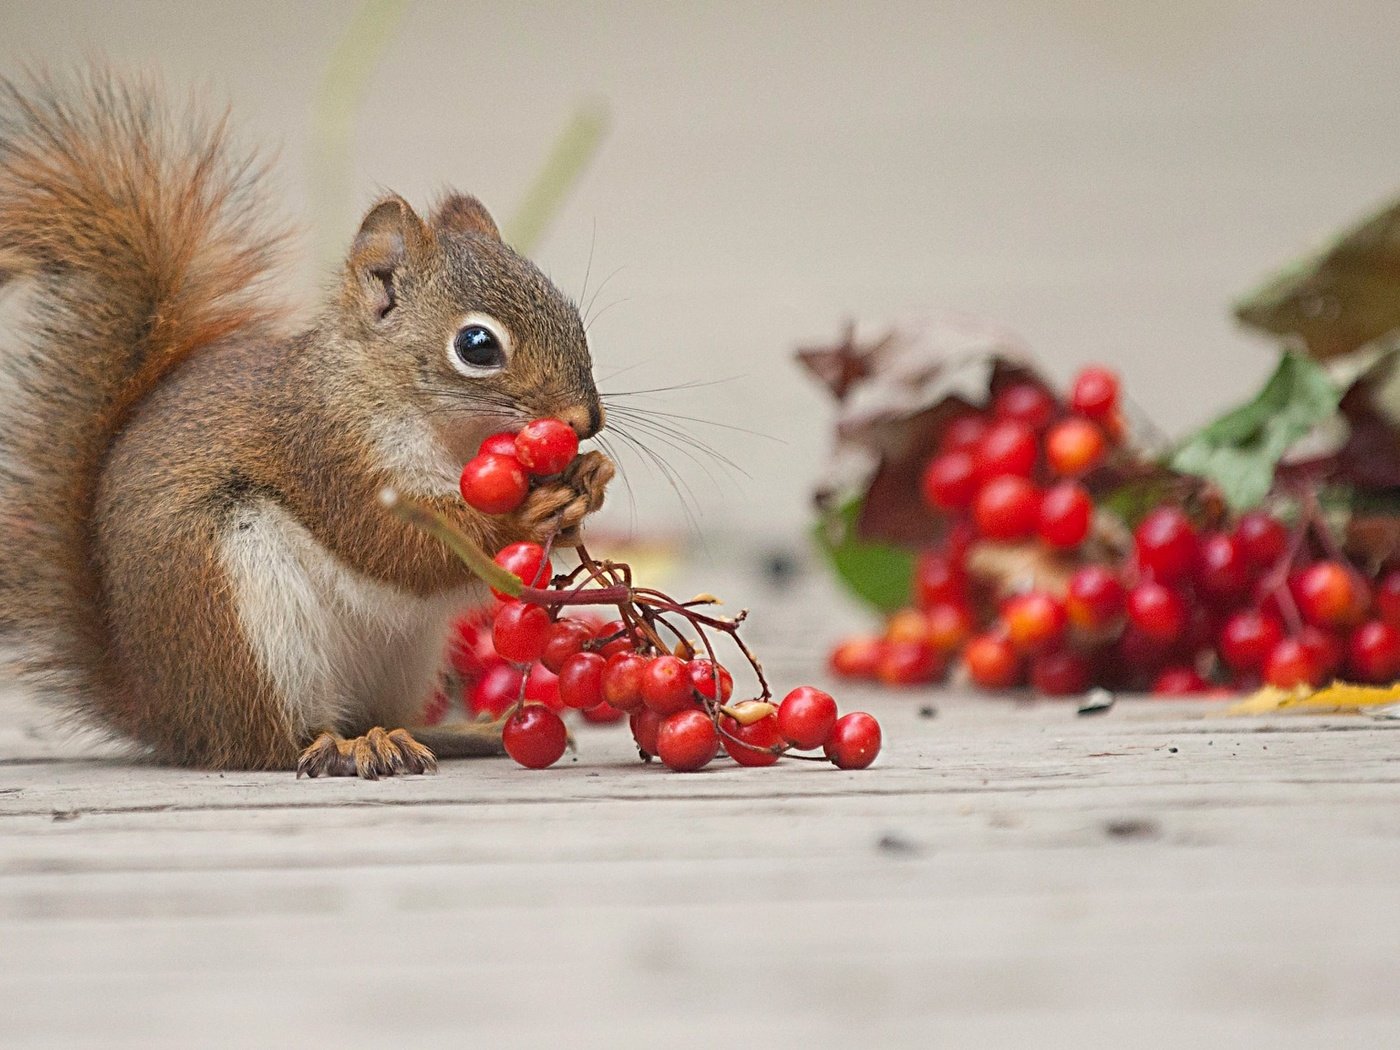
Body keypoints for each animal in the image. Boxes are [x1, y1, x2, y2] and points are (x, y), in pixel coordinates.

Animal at [0, 70, 613, 778]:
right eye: (477, 345)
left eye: (571, 313)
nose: (584, 419)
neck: (441, 432)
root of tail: (167, 713)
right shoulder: (326, 451)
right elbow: (396, 544)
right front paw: (521, 516)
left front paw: (590, 477)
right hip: (245, 618)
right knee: (272, 744)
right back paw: (348, 746)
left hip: (402, 658)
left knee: (378, 713)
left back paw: (456, 733)